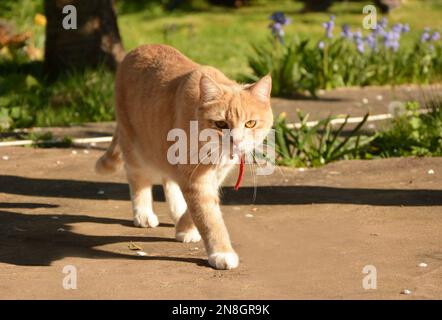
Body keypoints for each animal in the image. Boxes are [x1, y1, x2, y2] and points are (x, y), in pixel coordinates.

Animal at [95, 44, 272, 270]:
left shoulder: (212, 175)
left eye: (250, 123)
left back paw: (176, 210)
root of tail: (139, 48)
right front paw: (221, 252)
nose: (236, 141)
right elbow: (208, 216)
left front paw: (184, 228)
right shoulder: (195, 177)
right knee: (138, 179)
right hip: (135, 147)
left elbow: (196, 208)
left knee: (168, 179)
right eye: (220, 124)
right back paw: (143, 214)